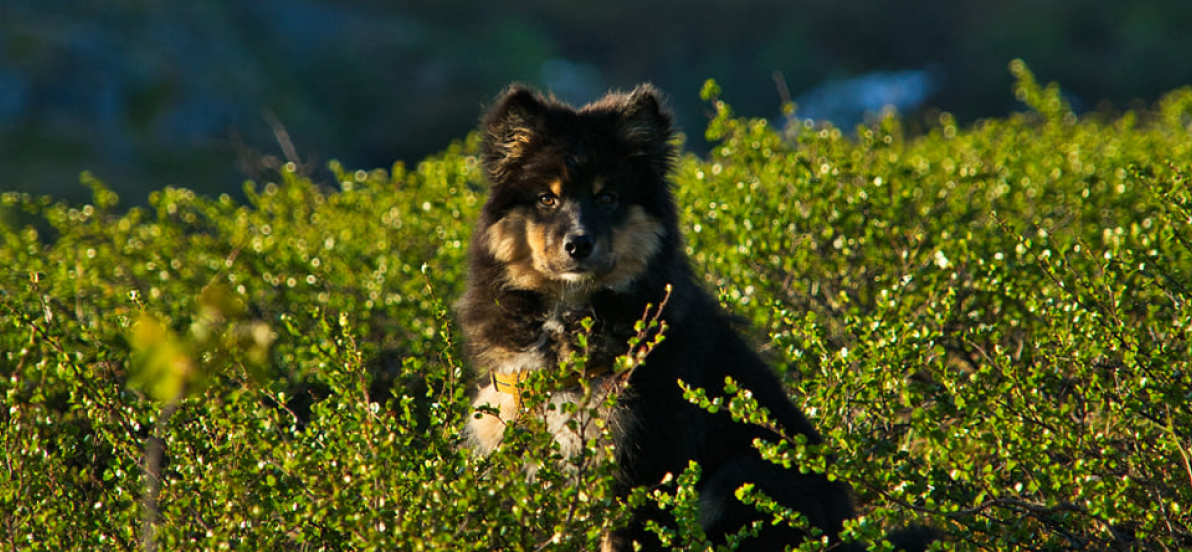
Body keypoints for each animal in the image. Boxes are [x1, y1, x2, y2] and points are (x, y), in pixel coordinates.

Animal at [450, 84, 924, 550]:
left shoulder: (643, 464)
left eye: (608, 198)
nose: (578, 244)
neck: (572, 316)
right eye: (546, 199)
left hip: (745, 478)